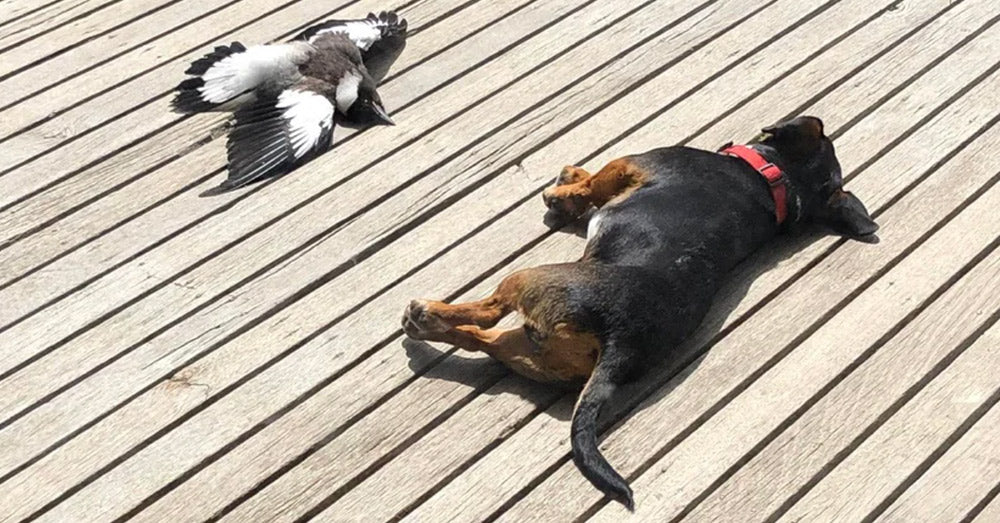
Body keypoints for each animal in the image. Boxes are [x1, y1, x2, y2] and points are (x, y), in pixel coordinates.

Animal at [402, 116, 880, 510]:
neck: (777, 181)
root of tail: (621, 342)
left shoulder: (629, 164)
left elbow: (594, 182)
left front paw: (565, 189)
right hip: (527, 349)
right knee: (478, 339)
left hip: (530, 279)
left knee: (484, 315)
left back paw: (425, 313)